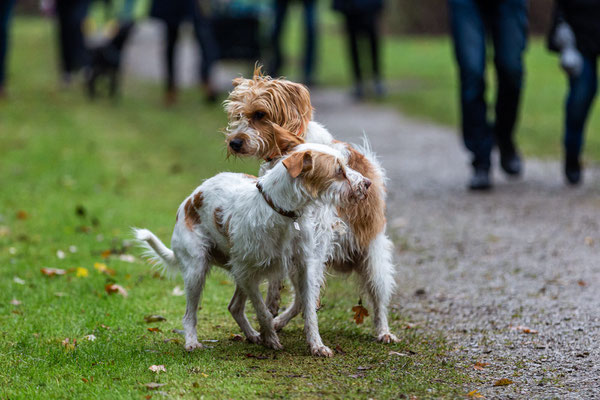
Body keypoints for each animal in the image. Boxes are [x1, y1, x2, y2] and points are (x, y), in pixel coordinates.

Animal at [135, 143, 370, 356]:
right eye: (338, 170)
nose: (367, 184)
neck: (283, 213)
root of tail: (189, 201)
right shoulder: (249, 274)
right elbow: (263, 311)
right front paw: (272, 339)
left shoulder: (303, 268)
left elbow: (309, 312)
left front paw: (316, 345)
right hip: (198, 271)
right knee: (190, 314)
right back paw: (192, 342)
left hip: (238, 272)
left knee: (234, 307)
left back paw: (252, 335)